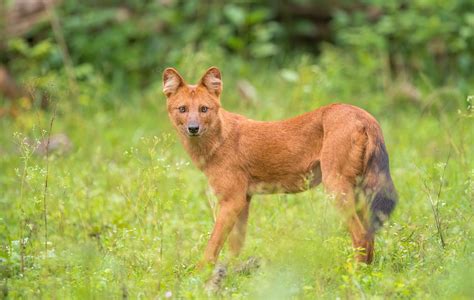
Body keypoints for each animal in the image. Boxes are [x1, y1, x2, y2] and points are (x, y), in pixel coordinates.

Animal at [163, 67, 396, 264]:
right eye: (182, 109)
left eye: (204, 109)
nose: (193, 128)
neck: (216, 141)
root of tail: (365, 116)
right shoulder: (244, 199)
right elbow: (235, 246)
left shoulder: (232, 200)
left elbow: (212, 246)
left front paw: (201, 276)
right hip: (361, 192)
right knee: (370, 235)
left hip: (336, 187)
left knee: (361, 236)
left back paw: (354, 276)